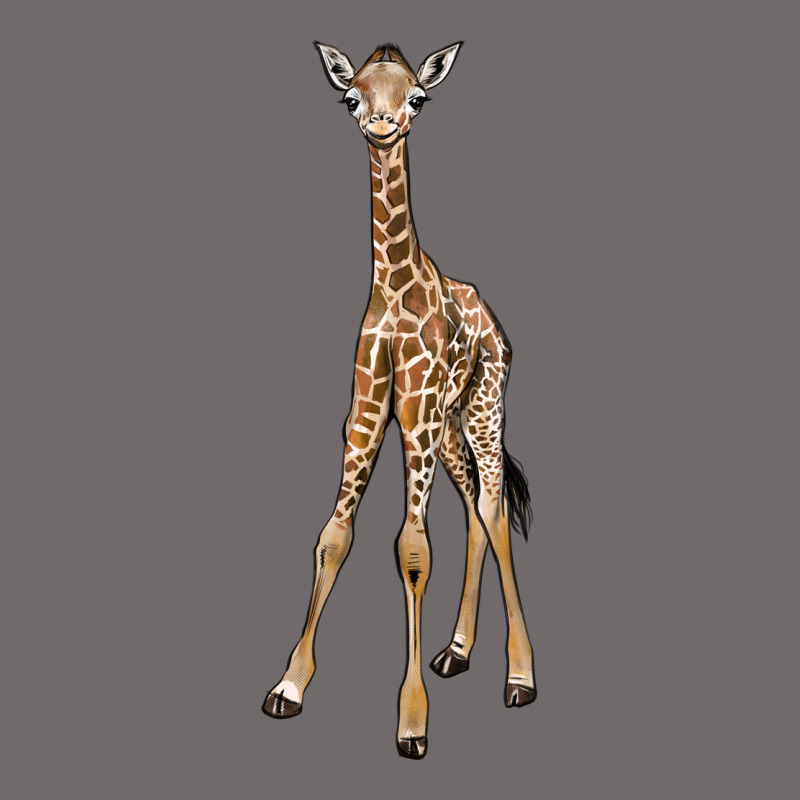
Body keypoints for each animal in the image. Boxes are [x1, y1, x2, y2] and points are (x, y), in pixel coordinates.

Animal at [263, 42, 537, 760]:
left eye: (417, 96)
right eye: (351, 96)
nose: (382, 126)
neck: (393, 287)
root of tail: (495, 323)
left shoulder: (411, 419)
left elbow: (413, 551)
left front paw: (412, 722)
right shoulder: (365, 418)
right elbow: (332, 537)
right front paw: (289, 685)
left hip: (482, 409)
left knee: (494, 507)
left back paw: (520, 676)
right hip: (448, 426)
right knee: (475, 509)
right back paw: (457, 651)